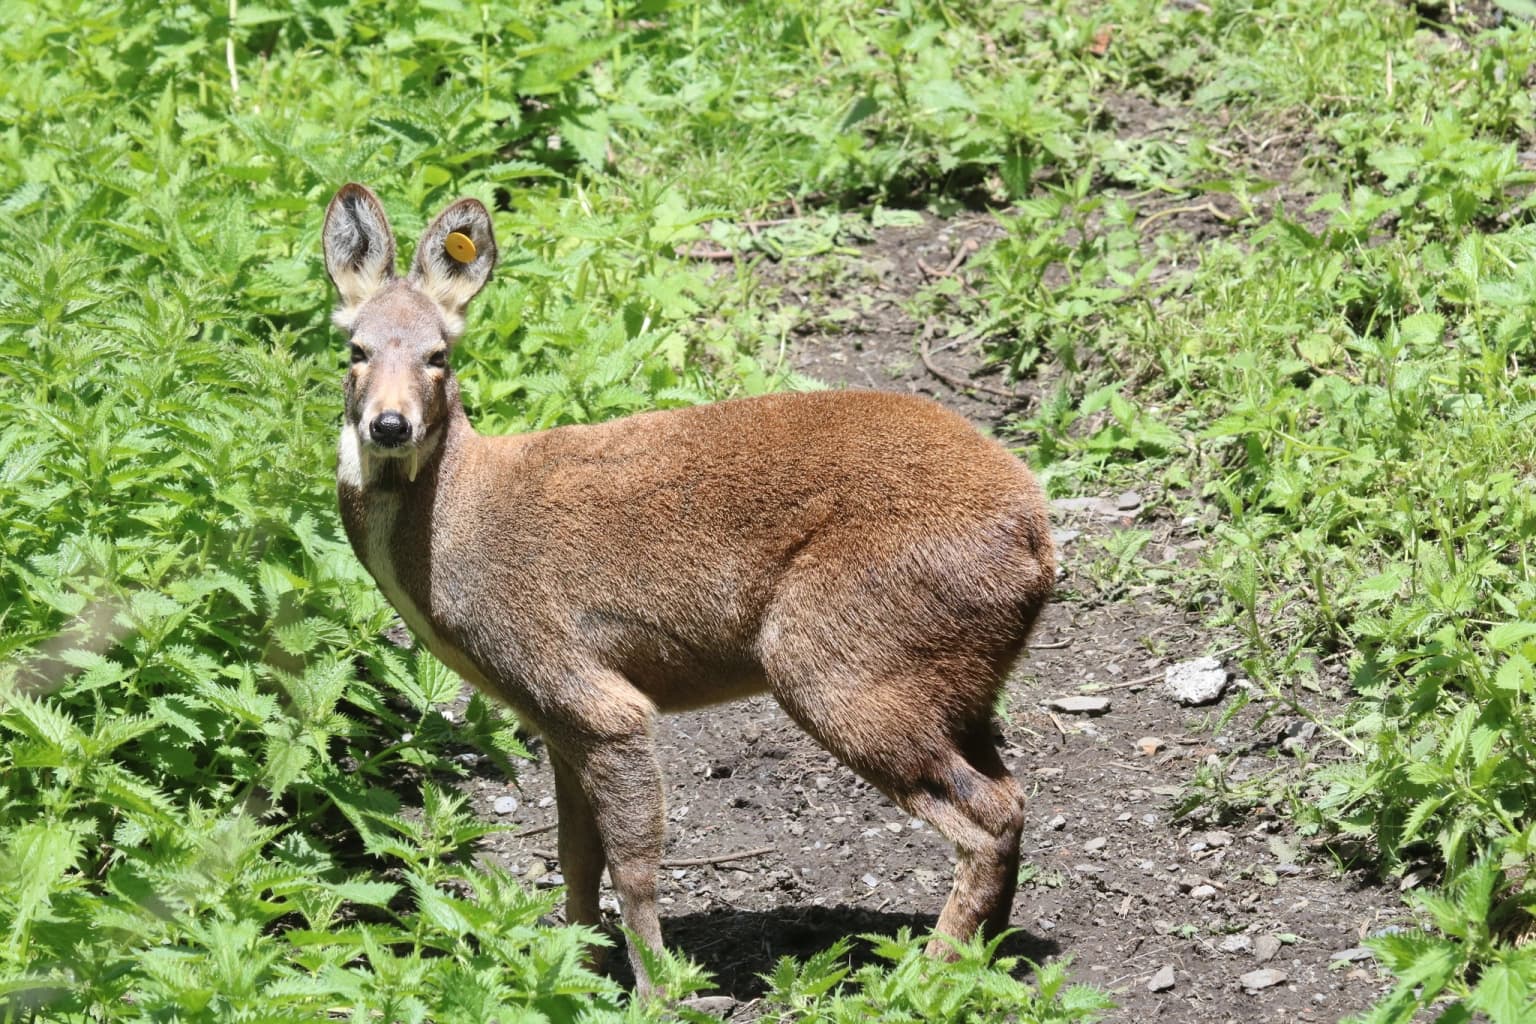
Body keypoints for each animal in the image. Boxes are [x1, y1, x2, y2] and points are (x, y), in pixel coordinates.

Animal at [321, 183, 1056, 996]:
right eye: (354, 348)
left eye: (439, 355)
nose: (390, 424)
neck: (455, 528)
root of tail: (1039, 538)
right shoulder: (551, 717)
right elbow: (575, 856)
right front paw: (575, 969)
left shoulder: (589, 692)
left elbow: (635, 864)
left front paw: (655, 989)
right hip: (956, 686)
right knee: (1013, 796)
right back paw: (984, 958)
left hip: (838, 656)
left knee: (990, 814)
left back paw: (925, 977)